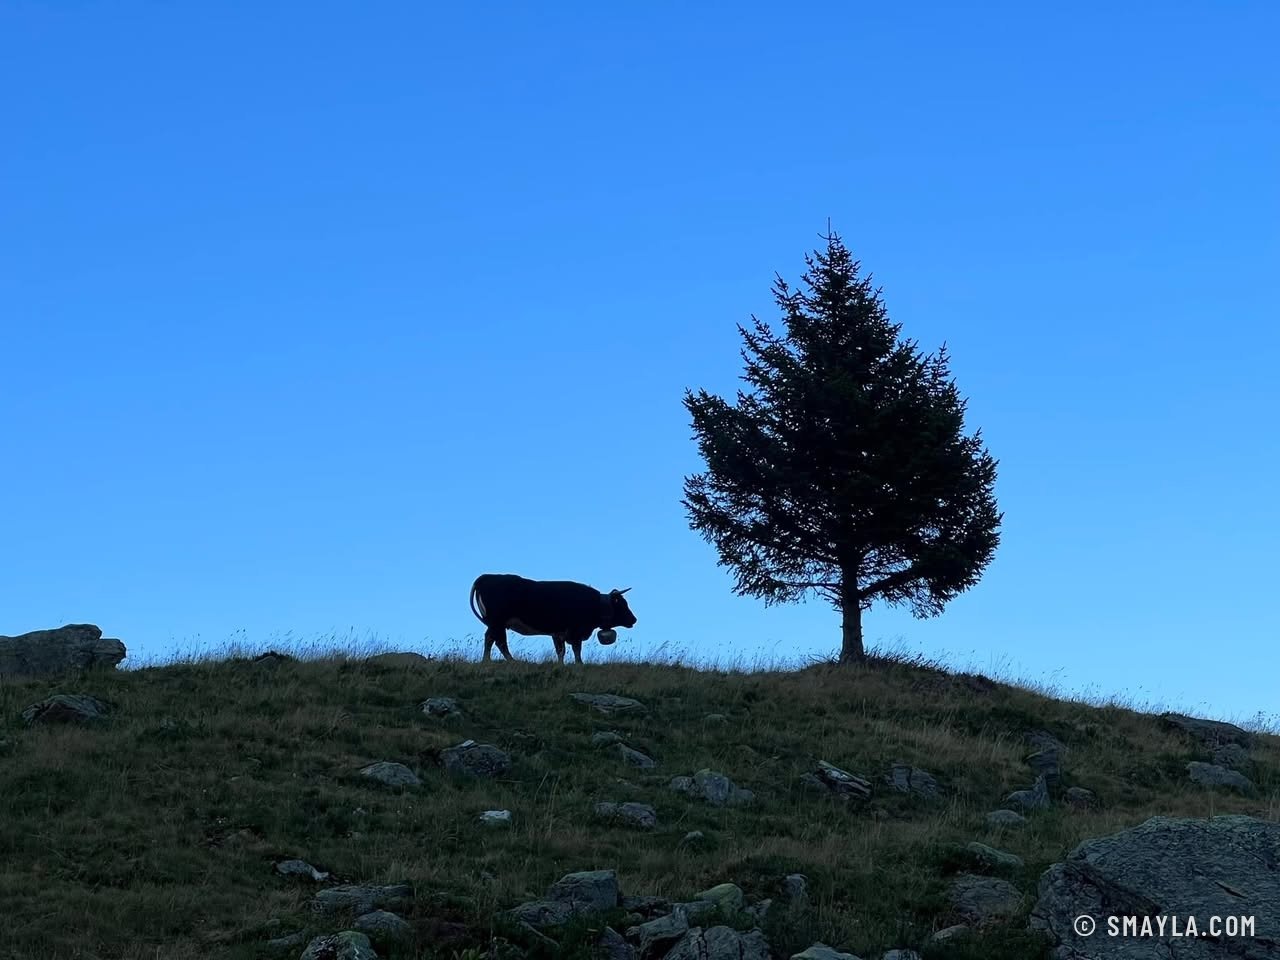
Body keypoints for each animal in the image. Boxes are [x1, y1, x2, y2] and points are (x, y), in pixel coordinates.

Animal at [469, 573, 637, 664]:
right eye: (623, 604)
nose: (634, 619)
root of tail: (487, 576)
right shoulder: (575, 632)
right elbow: (576, 649)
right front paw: (579, 664)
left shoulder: (558, 633)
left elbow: (561, 651)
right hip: (497, 622)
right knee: (498, 641)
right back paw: (508, 660)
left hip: (495, 624)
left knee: (491, 639)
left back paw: (488, 660)